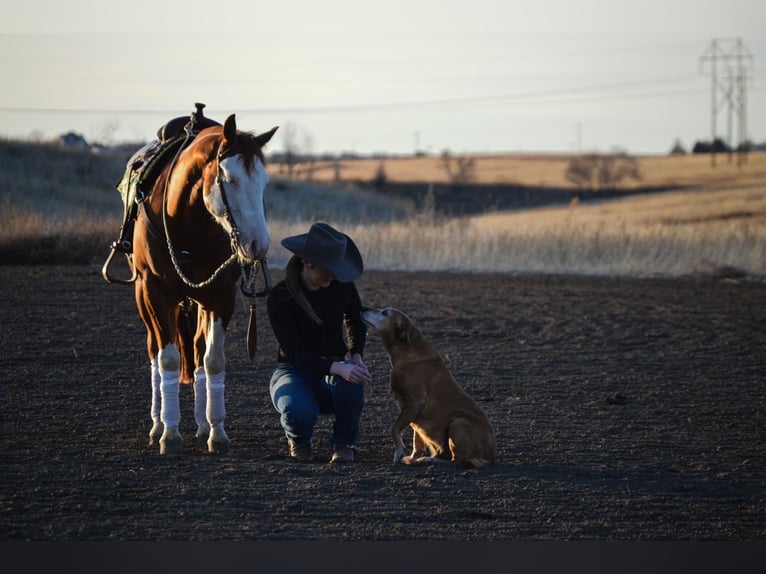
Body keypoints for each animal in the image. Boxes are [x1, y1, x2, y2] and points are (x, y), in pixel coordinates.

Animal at [130, 113, 277, 455]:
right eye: (231, 180)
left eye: (263, 183)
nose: (259, 245)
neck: (186, 224)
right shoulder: (156, 293)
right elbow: (168, 360)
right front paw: (170, 434)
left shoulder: (220, 297)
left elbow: (212, 362)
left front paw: (216, 432)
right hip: (144, 296)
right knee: (154, 351)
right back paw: (157, 424)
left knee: (196, 350)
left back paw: (200, 425)